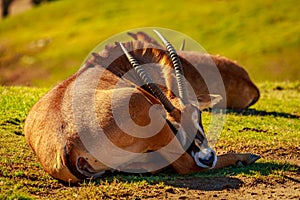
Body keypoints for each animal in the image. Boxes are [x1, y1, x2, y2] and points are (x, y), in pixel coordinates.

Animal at [24, 28, 260, 184]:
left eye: (197, 115)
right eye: (173, 124)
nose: (207, 157)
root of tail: (67, 146)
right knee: (186, 166)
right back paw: (246, 157)